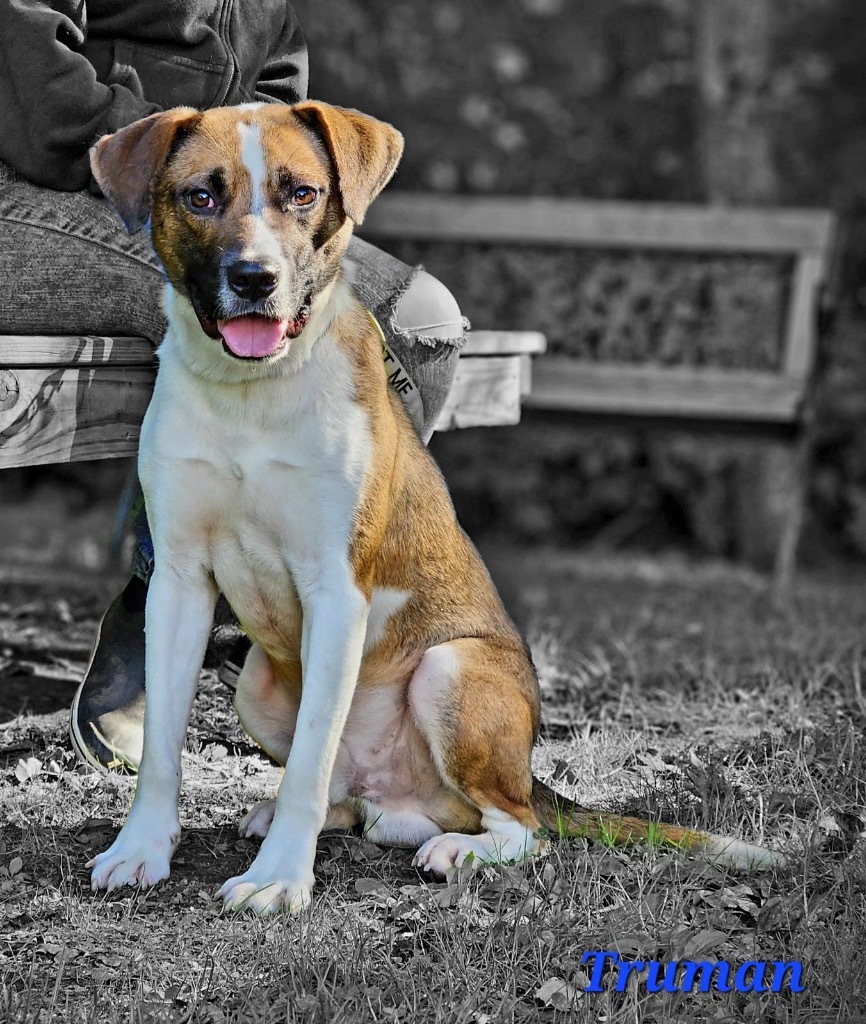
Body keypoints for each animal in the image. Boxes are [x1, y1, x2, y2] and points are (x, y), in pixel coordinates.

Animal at [84, 99, 782, 909]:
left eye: (302, 193)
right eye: (200, 196)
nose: (256, 279)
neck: (252, 394)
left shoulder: (336, 590)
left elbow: (307, 765)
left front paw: (279, 880)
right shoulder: (179, 582)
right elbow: (164, 749)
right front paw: (142, 848)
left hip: (451, 671)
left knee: (518, 826)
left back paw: (461, 850)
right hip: (255, 677)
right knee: (345, 793)